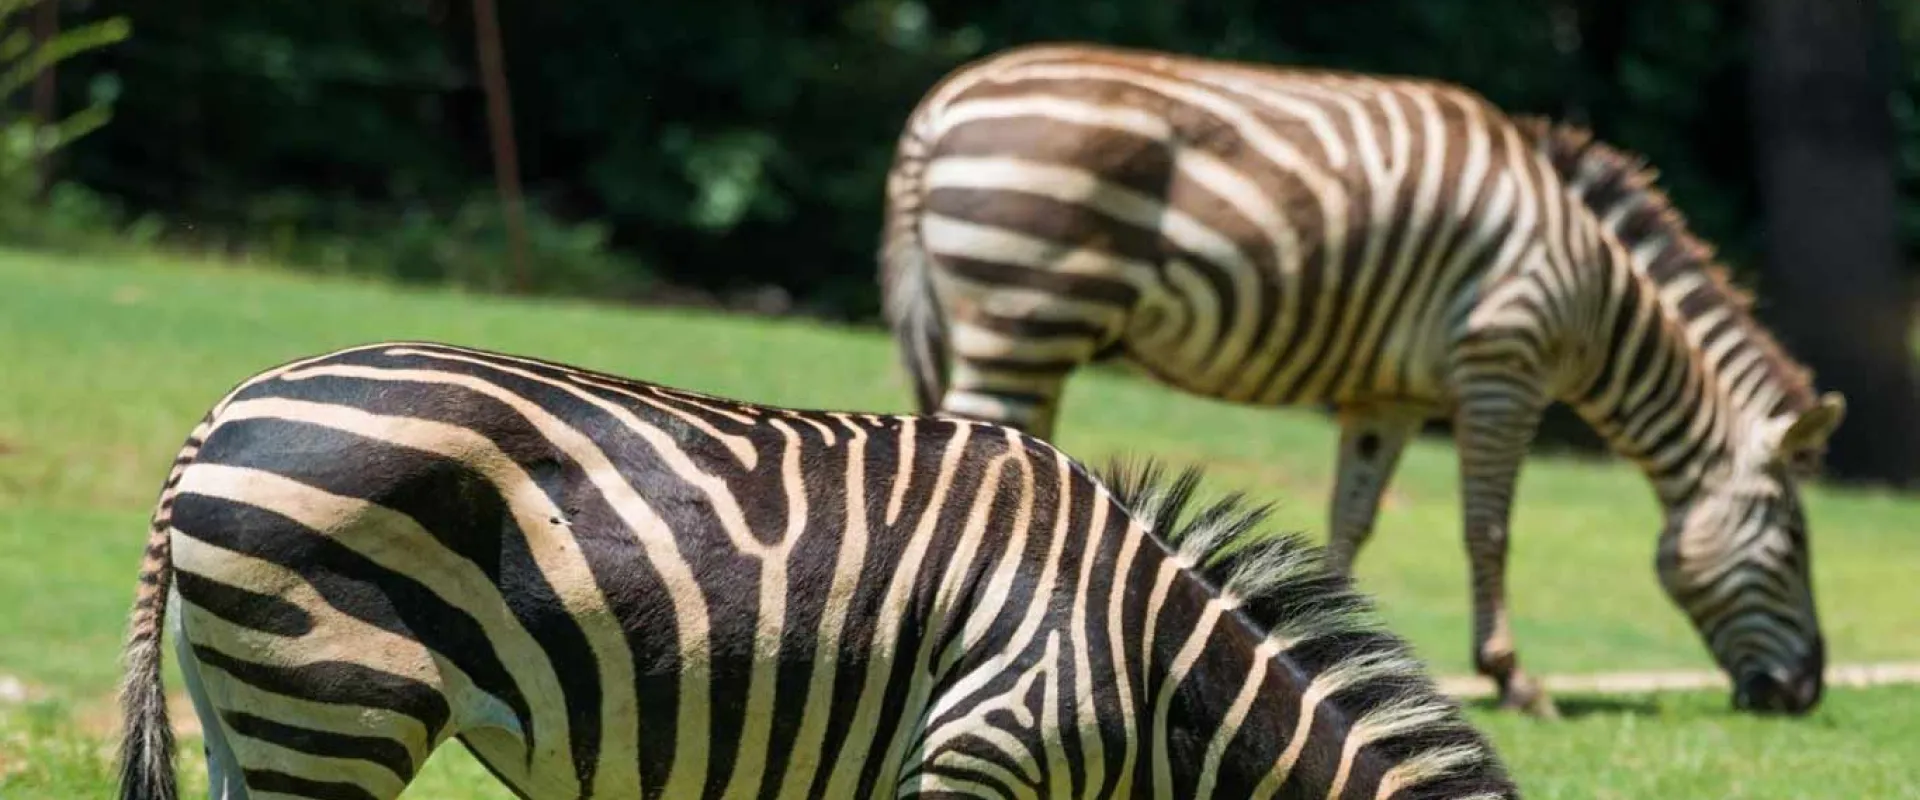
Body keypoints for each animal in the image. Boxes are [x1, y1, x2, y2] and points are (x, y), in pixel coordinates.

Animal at [880, 43, 1847, 718]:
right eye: (1794, 545)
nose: (1807, 692)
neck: (1597, 292)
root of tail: (938, 108)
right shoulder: (1504, 368)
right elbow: (1488, 531)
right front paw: (1514, 680)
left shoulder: (1390, 396)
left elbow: (1352, 517)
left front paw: (1325, 643)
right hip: (1024, 314)